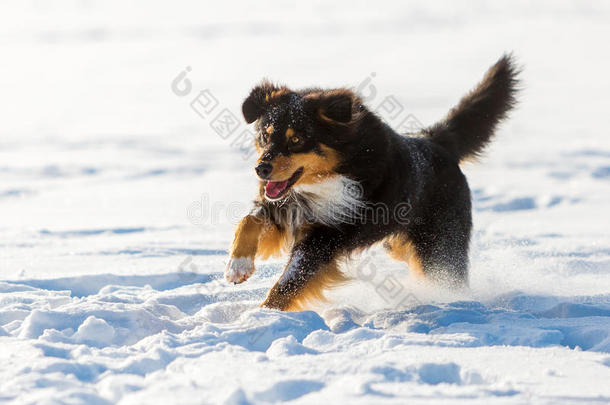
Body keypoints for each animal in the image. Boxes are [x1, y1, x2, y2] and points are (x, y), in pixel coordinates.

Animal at [224, 55, 516, 310]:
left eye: (296, 139)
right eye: (265, 135)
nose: (261, 169)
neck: (334, 171)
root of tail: (436, 142)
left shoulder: (329, 233)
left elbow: (292, 279)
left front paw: (263, 314)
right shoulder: (285, 203)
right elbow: (248, 220)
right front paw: (238, 266)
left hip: (440, 245)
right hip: (400, 243)